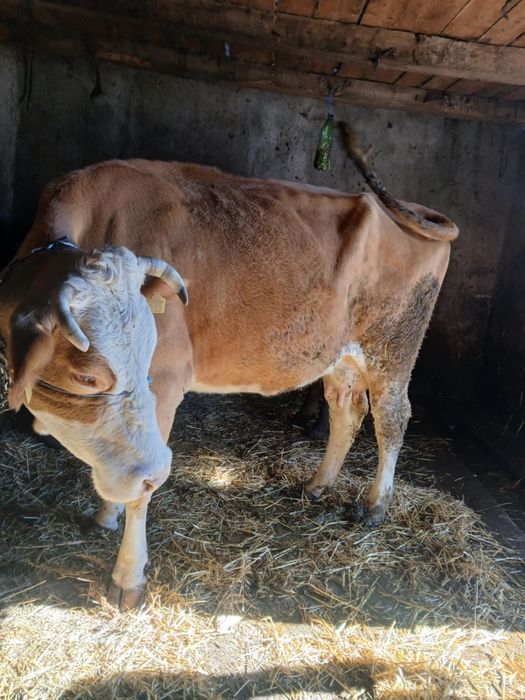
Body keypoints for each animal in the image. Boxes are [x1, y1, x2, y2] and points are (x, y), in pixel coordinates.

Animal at [0, 123, 458, 610]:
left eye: (148, 356)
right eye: (87, 377)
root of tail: (406, 208)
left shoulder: (167, 380)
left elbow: (144, 492)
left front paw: (128, 578)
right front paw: (106, 514)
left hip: (393, 348)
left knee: (391, 419)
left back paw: (375, 506)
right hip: (339, 353)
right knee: (346, 410)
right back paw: (316, 485)